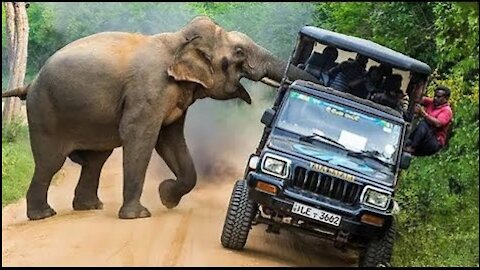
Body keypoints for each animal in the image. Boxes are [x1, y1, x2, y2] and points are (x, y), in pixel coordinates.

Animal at [2, 15, 318, 220]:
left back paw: (90, 207)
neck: (178, 41)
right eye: (239, 53)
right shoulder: (149, 89)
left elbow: (171, 140)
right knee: (51, 162)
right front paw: (139, 215)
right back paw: (44, 215)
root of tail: (30, 84)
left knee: (95, 160)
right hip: (45, 112)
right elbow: (140, 136)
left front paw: (166, 196)